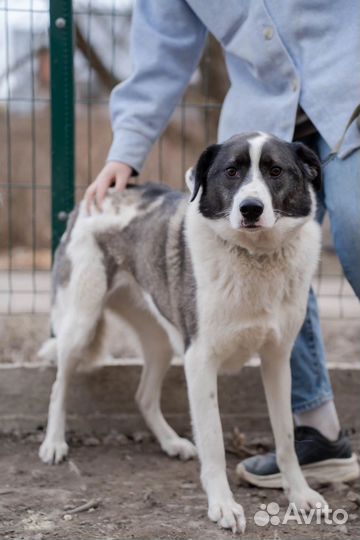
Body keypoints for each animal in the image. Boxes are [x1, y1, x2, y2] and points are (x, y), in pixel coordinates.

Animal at [38, 133, 326, 532]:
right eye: (232, 171)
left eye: (275, 171)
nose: (250, 208)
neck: (255, 257)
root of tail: (101, 193)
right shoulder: (200, 360)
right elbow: (214, 440)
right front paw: (223, 505)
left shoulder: (277, 360)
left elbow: (285, 439)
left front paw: (299, 493)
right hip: (80, 323)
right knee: (58, 385)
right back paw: (53, 443)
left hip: (161, 342)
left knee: (143, 395)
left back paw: (172, 443)